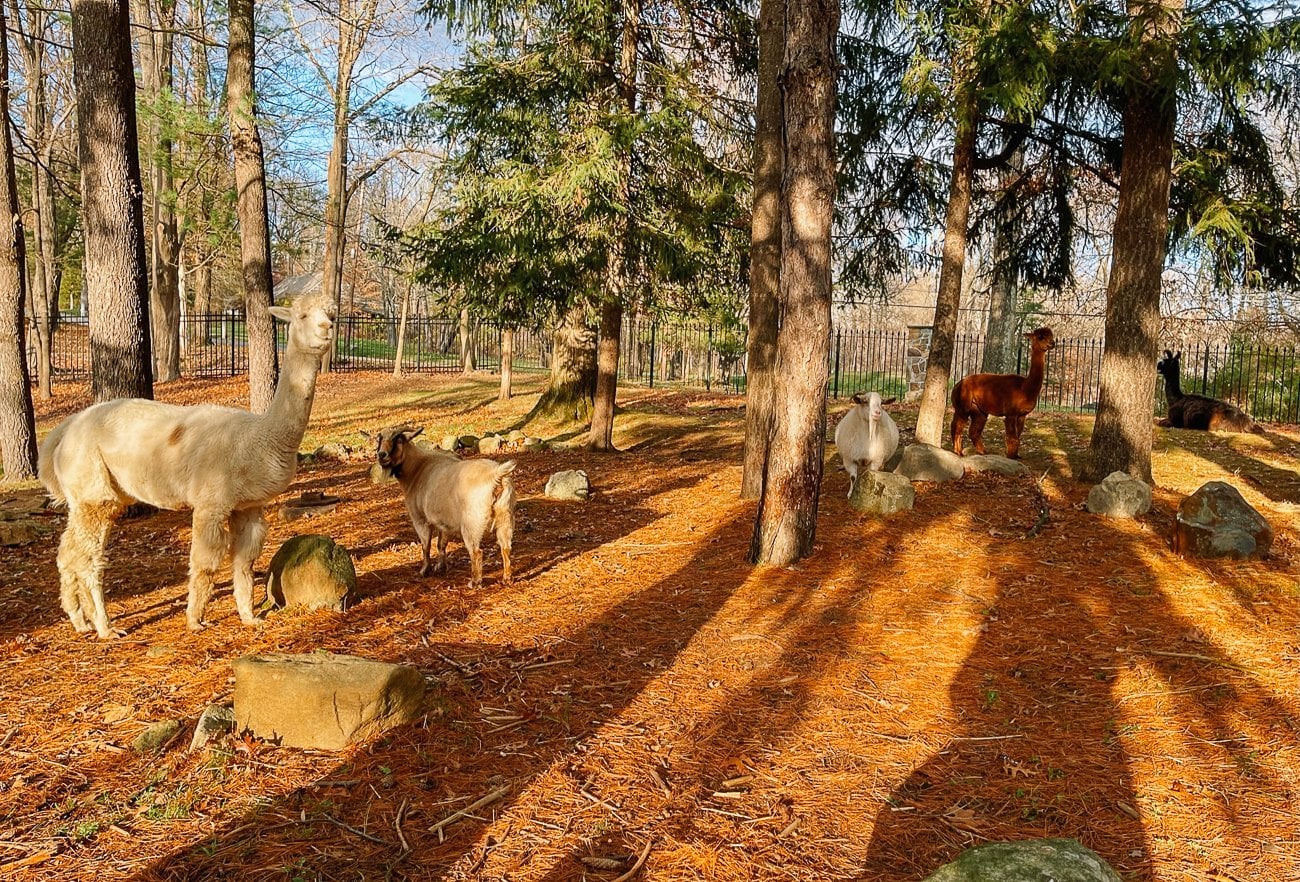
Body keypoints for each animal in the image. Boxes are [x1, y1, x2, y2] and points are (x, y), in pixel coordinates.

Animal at [39, 296, 335, 638]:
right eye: (302, 316)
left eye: (332, 313)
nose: (328, 328)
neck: (260, 437)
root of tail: (67, 427)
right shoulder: (211, 502)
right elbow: (204, 563)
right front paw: (195, 621)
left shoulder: (248, 506)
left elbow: (244, 561)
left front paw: (249, 617)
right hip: (92, 492)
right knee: (88, 558)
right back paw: (106, 628)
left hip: (94, 497)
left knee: (69, 553)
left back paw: (80, 621)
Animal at [372, 426, 515, 588]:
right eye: (379, 439)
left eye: (399, 440)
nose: (381, 455)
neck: (417, 469)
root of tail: (496, 476)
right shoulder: (443, 522)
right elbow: (441, 544)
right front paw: (441, 567)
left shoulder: (420, 519)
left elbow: (426, 546)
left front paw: (425, 570)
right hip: (505, 517)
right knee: (506, 547)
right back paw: (507, 578)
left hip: (472, 523)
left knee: (477, 552)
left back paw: (475, 581)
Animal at [950, 327, 1055, 459]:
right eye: (1040, 337)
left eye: (1052, 336)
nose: (1053, 343)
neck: (1025, 388)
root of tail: (957, 384)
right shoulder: (1011, 413)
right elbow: (1012, 438)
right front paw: (1011, 457)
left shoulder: (1022, 415)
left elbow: (1018, 436)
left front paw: (1016, 456)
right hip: (963, 406)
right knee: (957, 428)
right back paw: (958, 452)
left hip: (979, 411)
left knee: (973, 431)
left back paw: (982, 452)